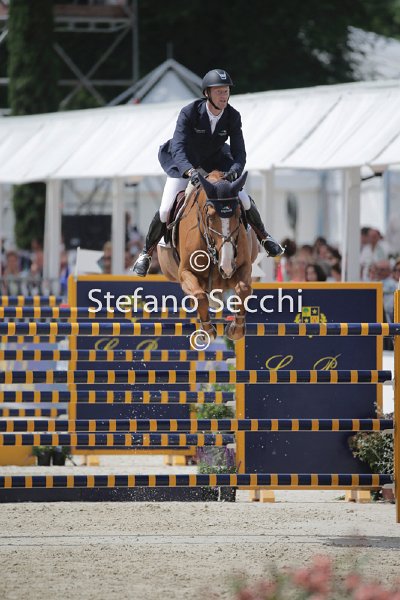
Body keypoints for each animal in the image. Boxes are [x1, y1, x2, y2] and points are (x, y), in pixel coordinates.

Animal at [158, 170, 258, 342]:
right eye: (210, 217)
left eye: (239, 214)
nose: (226, 266)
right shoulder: (185, 272)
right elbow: (199, 296)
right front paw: (208, 331)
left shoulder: (243, 267)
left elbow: (244, 289)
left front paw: (235, 330)